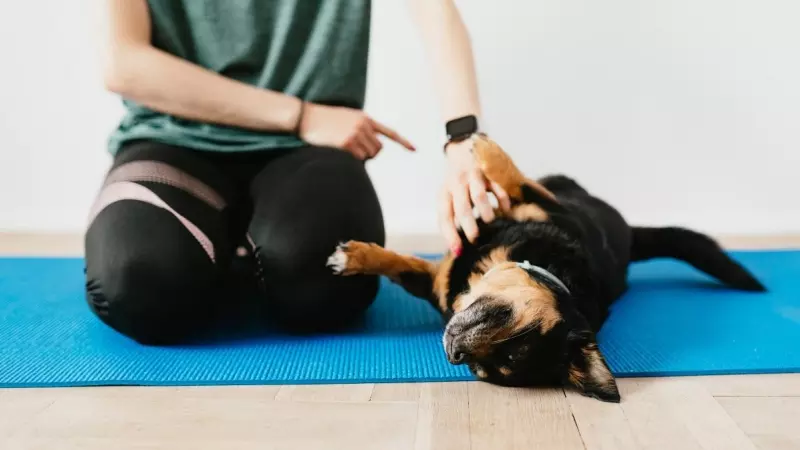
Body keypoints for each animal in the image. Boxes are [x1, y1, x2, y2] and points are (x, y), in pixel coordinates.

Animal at [326, 135, 768, 402]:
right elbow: (400, 262)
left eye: (484, 367)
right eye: (512, 327)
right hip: (560, 186)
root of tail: (628, 235)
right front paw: (356, 257)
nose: (454, 353)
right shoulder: (535, 213)